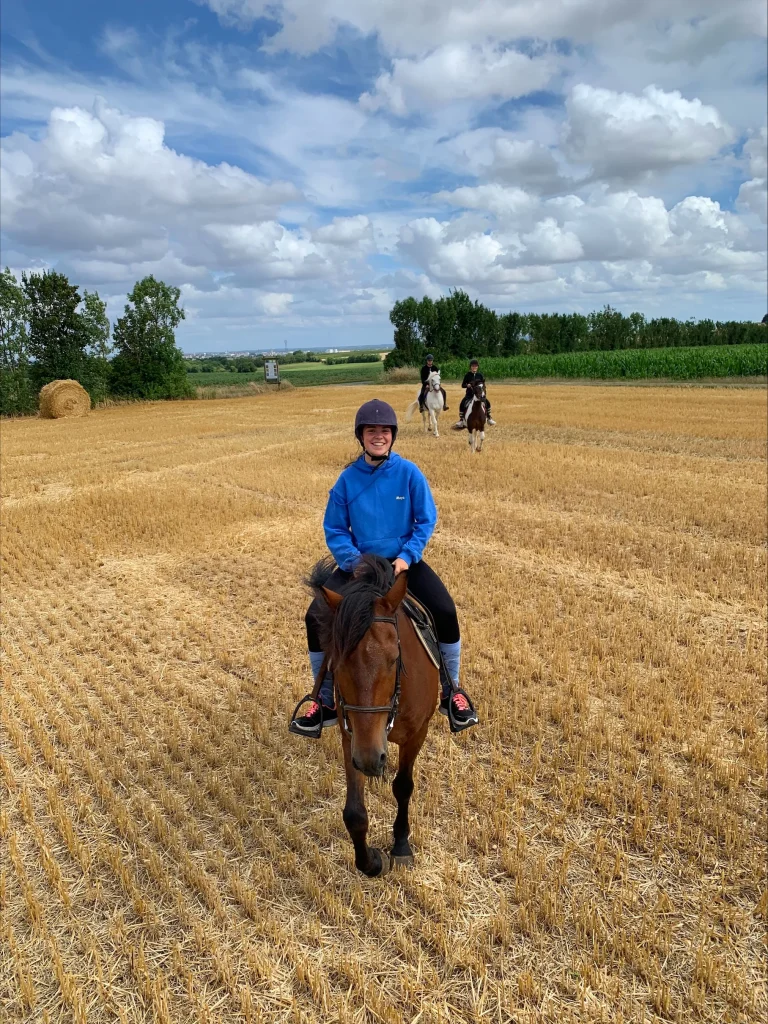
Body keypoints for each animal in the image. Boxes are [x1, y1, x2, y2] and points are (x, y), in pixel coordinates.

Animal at [307, 557, 438, 876]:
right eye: (337, 662)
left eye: (394, 659)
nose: (371, 759)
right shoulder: (352, 737)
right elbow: (354, 813)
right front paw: (371, 862)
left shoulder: (417, 734)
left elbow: (403, 787)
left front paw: (401, 846)